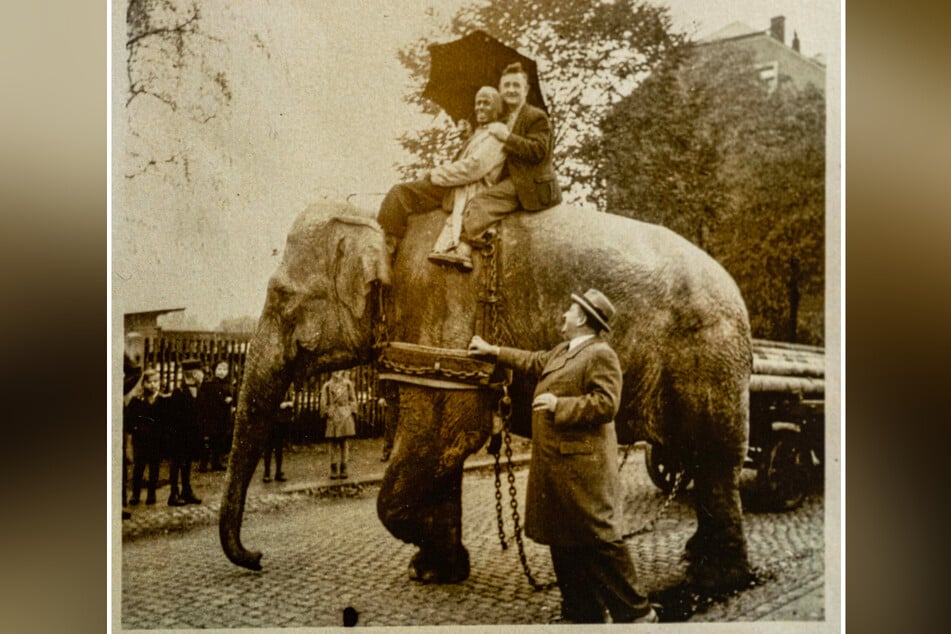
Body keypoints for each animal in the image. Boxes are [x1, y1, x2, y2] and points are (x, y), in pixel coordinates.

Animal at [219, 200, 756, 596]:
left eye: (282, 297)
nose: (257, 557)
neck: (378, 219)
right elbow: (442, 449)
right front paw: (435, 571)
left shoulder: (441, 310)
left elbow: (442, 437)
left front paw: (430, 554)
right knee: (693, 460)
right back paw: (696, 556)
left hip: (707, 361)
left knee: (714, 460)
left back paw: (715, 580)